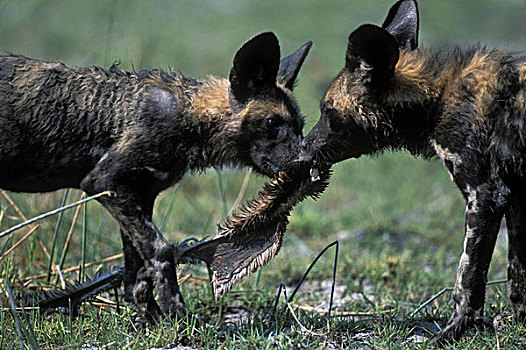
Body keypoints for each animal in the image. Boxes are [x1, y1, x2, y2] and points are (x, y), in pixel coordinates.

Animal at [1, 32, 314, 322]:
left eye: (301, 126)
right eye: (273, 123)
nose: (307, 162)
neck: (190, 117)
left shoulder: (139, 195)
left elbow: (137, 273)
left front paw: (151, 320)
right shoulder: (105, 183)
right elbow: (161, 251)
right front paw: (178, 317)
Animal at [302, 0, 526, 344]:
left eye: (329, 114)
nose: (302, 148)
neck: (437, 98)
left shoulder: (486, 195)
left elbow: (467, 279)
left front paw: (451, 332)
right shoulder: (515, 197)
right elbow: (518, 273)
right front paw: (519, 323)